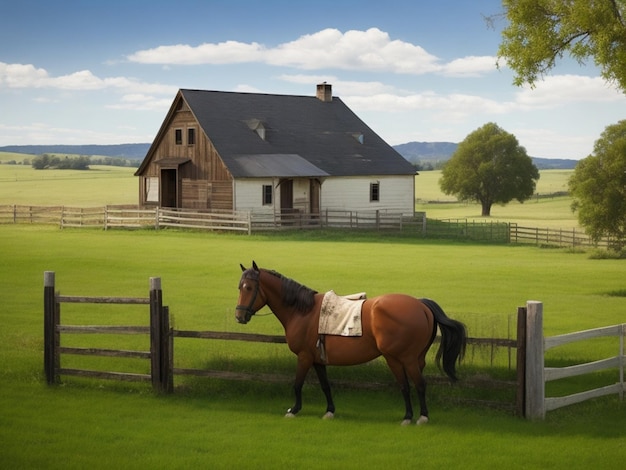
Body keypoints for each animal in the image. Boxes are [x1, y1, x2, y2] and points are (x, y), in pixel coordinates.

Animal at [234, 260, 464, 426]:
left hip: (401, 359)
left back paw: (416, 417)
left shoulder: (304, 357)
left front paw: (294, 410)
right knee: (411, 385)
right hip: (413, 359)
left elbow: (297, 383)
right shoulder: (317, 360)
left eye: (249, 287)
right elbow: (325, 385)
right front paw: (329, 411)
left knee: (414, 385)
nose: (239, 316)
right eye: (239, 287)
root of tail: (420, 304)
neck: (303, 311)